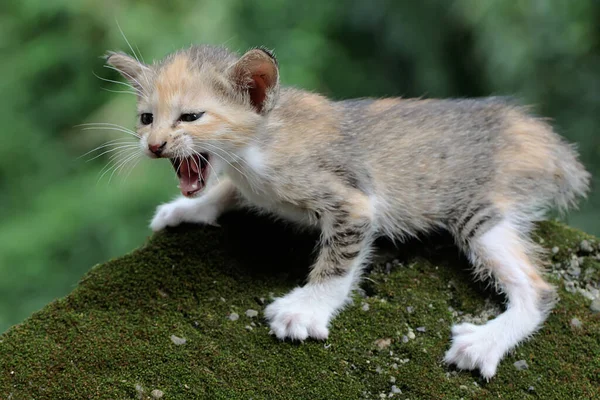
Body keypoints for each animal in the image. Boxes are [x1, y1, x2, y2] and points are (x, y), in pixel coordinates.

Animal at [105, 45, 588, 380]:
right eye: (146, 118)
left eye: (190, 116)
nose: (154, 145)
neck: (257, 147)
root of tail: (532, 131)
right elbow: (225, 190)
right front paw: (187, 208)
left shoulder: (354, 201)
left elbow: (338, 262)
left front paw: (306, 310)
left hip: (477, 211)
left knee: (540, 290)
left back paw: (485, 342)